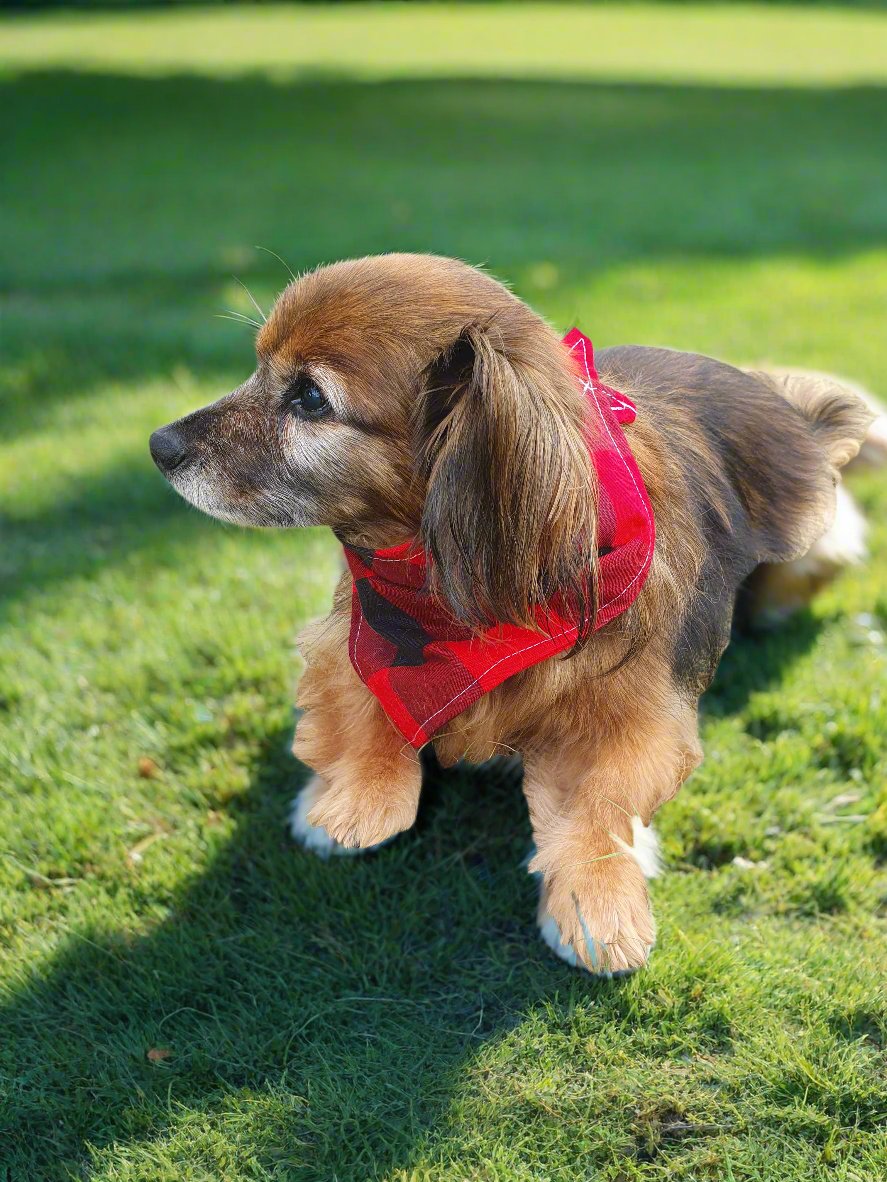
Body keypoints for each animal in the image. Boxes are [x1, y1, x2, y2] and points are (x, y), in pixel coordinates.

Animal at [149, 254, 879, 973]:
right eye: (257, 369)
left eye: (309, 398)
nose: (158, 445)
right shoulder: (361, 624)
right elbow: (359, 693)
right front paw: (351, 796)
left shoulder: (626, 707)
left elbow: (597, 804)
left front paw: (600, 899)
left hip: (812, 530)